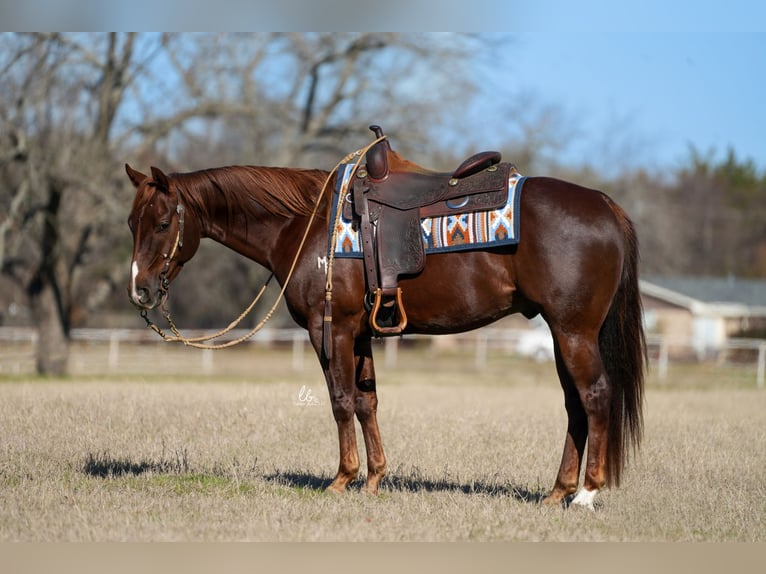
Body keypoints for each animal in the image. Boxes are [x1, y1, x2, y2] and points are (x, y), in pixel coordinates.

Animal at [126, 142, 648, 510]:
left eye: (161, 224)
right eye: (132, 222)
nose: (140, 291)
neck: (306, 224)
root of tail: (605, 205)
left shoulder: (330, 329)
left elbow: (340, 401)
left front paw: (342, 479)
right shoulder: (360, 334)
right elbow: (366, 402)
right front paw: (374, 478)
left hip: (574, 332)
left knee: (595, 397)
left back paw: (586, 494)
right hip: (562, 335)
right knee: (575, 406)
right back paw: (558, 491)